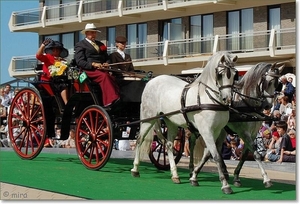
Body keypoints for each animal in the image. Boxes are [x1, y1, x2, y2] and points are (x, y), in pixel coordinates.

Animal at [131, 51, 239, 194]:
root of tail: (151, 81)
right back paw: (135, 169)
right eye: (220, 74)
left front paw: (194, 177)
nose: (227, 99)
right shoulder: (206, 131)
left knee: (169, 145)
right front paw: (225, 185)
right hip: (149, 118)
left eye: (234, 74)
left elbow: (208, 154)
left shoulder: (216, 131)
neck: (208, 98)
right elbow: (216, 156)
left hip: (170, 122)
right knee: (140, 139)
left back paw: (175, 175)